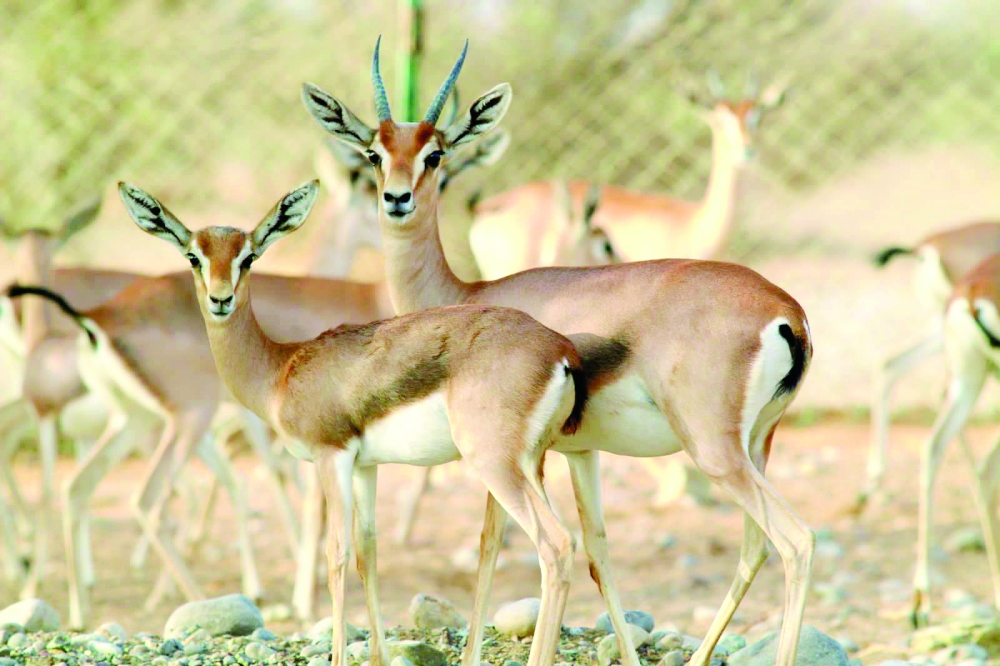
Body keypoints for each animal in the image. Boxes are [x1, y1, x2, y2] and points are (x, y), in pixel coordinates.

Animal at [120, 178, 594, 666]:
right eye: (193, 256)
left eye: (247, 257)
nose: (220, 300)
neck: (281, 371)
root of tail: (559, 350)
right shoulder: (366, 466)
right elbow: (368, 552)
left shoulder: (331, 458)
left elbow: (336, 556)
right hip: (532, 464)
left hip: (496, 465)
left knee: (557, 545)